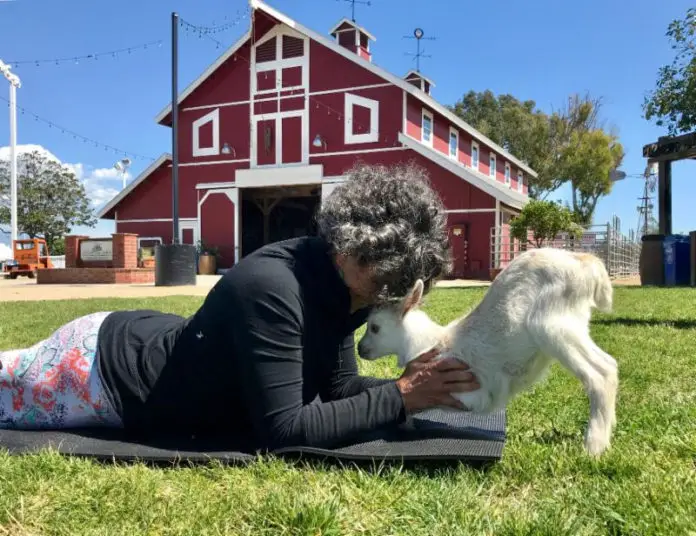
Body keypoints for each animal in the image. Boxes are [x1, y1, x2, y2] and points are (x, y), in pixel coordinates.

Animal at [356, 247, 616, 456]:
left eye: (375, 327)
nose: (360, 349)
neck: (432, 342)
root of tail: (585, 263)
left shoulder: (467, 392)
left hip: (553, 326)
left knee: (601, 374)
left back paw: (593, 447)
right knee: (610, 366)